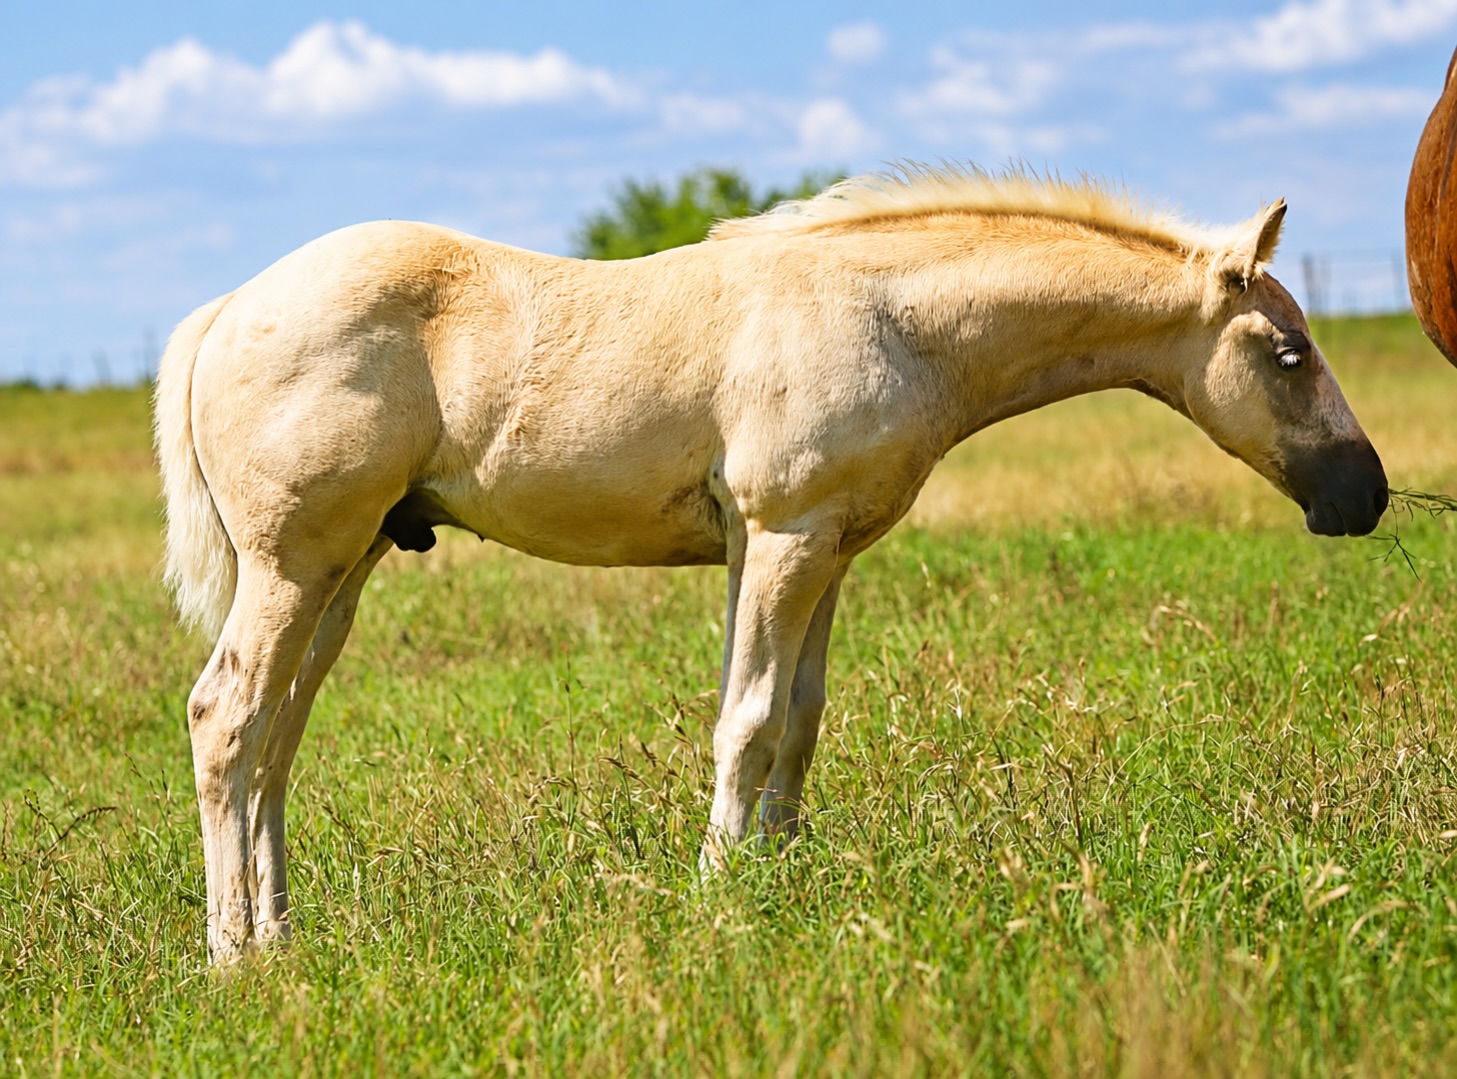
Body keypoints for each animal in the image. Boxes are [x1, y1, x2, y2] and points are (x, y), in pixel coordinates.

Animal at [154, 165, 1389, 964]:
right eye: (1288, 351)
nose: (1363, 496)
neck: (889, 317)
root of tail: (227, 309)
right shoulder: (781, 536)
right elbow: (744, 718)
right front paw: (716, 895)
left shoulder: (827, 548)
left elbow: (799, 717)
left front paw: (782, 874)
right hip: (291, 565)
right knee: (225, 716)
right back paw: (232, 956)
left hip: (342, 570)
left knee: (276, 739)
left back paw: (281, 935)